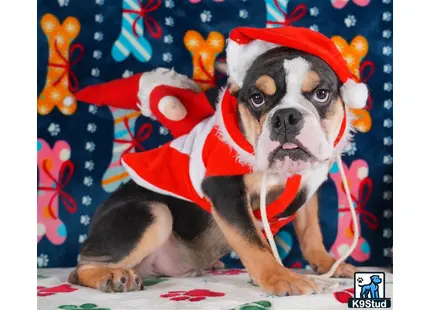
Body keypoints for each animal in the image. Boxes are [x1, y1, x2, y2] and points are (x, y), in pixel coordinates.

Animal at [68, 46, 356, 296]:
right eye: (257, 98)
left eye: (321, 94)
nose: (285, 117)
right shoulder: (226, 190)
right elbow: (253, 242)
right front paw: (281, 277)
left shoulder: (307, 189)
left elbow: (311, 233)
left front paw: (328, 264)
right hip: (153, 212)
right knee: (80, 267)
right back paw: (111, 275)